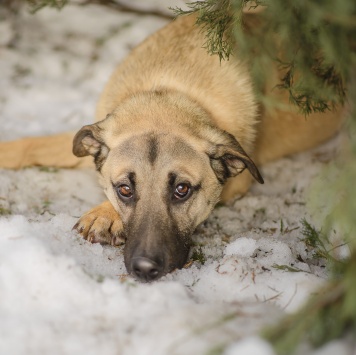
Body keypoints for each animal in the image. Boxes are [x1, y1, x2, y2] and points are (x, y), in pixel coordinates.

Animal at [0, 13, 344, 282]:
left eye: (182, 190)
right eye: (124, 189)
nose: (144, 269)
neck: (166, 90)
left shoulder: (238, 183)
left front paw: (104, 215)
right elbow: (27, 146)